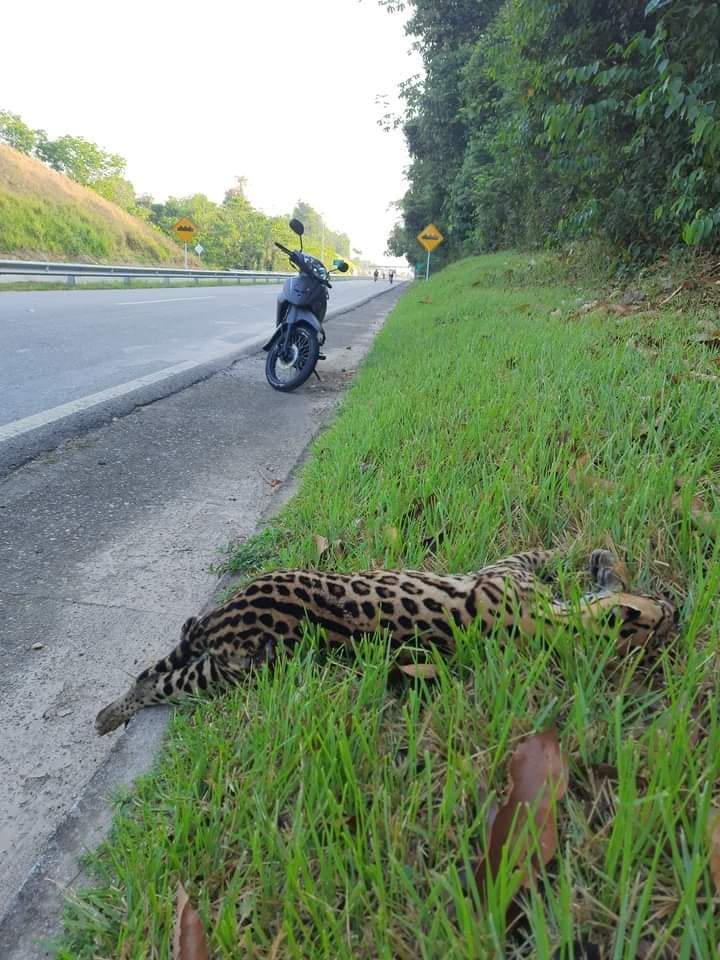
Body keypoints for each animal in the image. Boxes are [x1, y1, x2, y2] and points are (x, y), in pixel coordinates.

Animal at [95, 547, 676, 735]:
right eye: (667, 606)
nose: (681, 608)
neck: (554, 629)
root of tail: (228, 614)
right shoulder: (504, 572)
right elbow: (540, 553)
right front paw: (589, 557)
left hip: (219, 672)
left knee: (156, 679)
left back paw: (109, 714)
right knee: (156, 671)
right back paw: (109, 714)